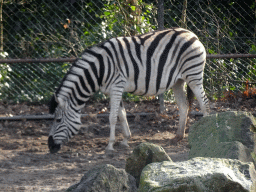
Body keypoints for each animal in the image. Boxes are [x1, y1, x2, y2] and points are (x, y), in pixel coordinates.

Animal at [48, 27, 210, 153]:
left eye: (58, 120)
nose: (50, 146)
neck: (99, 70)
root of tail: (192, 34)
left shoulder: (117, 85)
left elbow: (112, 117)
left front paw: (110, 145)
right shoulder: (113, 90)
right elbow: (122, 114)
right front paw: (126, 140)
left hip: (193, 75)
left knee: (204, 103)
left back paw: (206, 135)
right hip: (178, 81)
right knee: (183, 106)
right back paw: (177, 137)